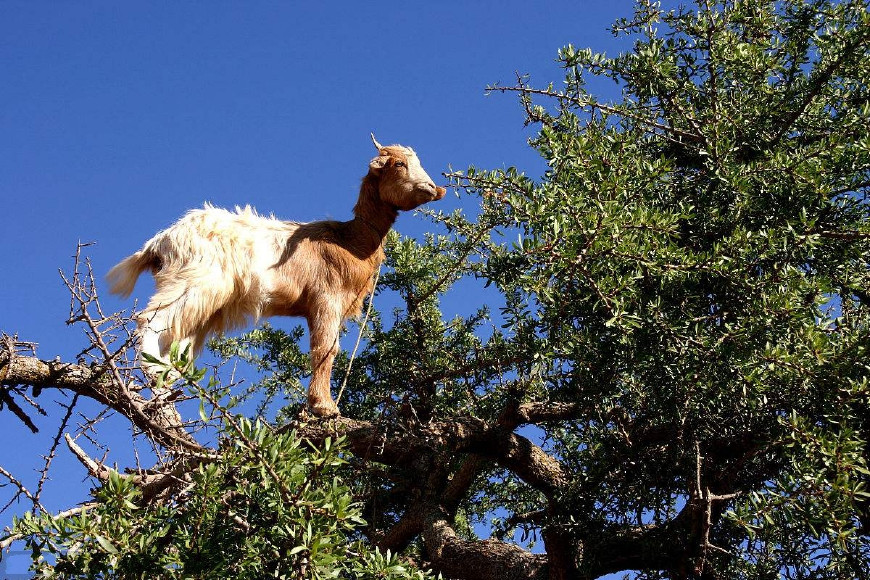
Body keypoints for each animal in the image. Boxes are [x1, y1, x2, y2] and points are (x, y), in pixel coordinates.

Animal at [108, 136, 446, 416]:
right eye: (399, 164)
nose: (434, 189)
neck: (350, 239)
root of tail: (160, 241)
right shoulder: (326, 299)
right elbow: (326, 349)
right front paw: (324, 407)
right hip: (193, 281)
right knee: (151, 319)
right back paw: (153, 372)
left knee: (175, 341)